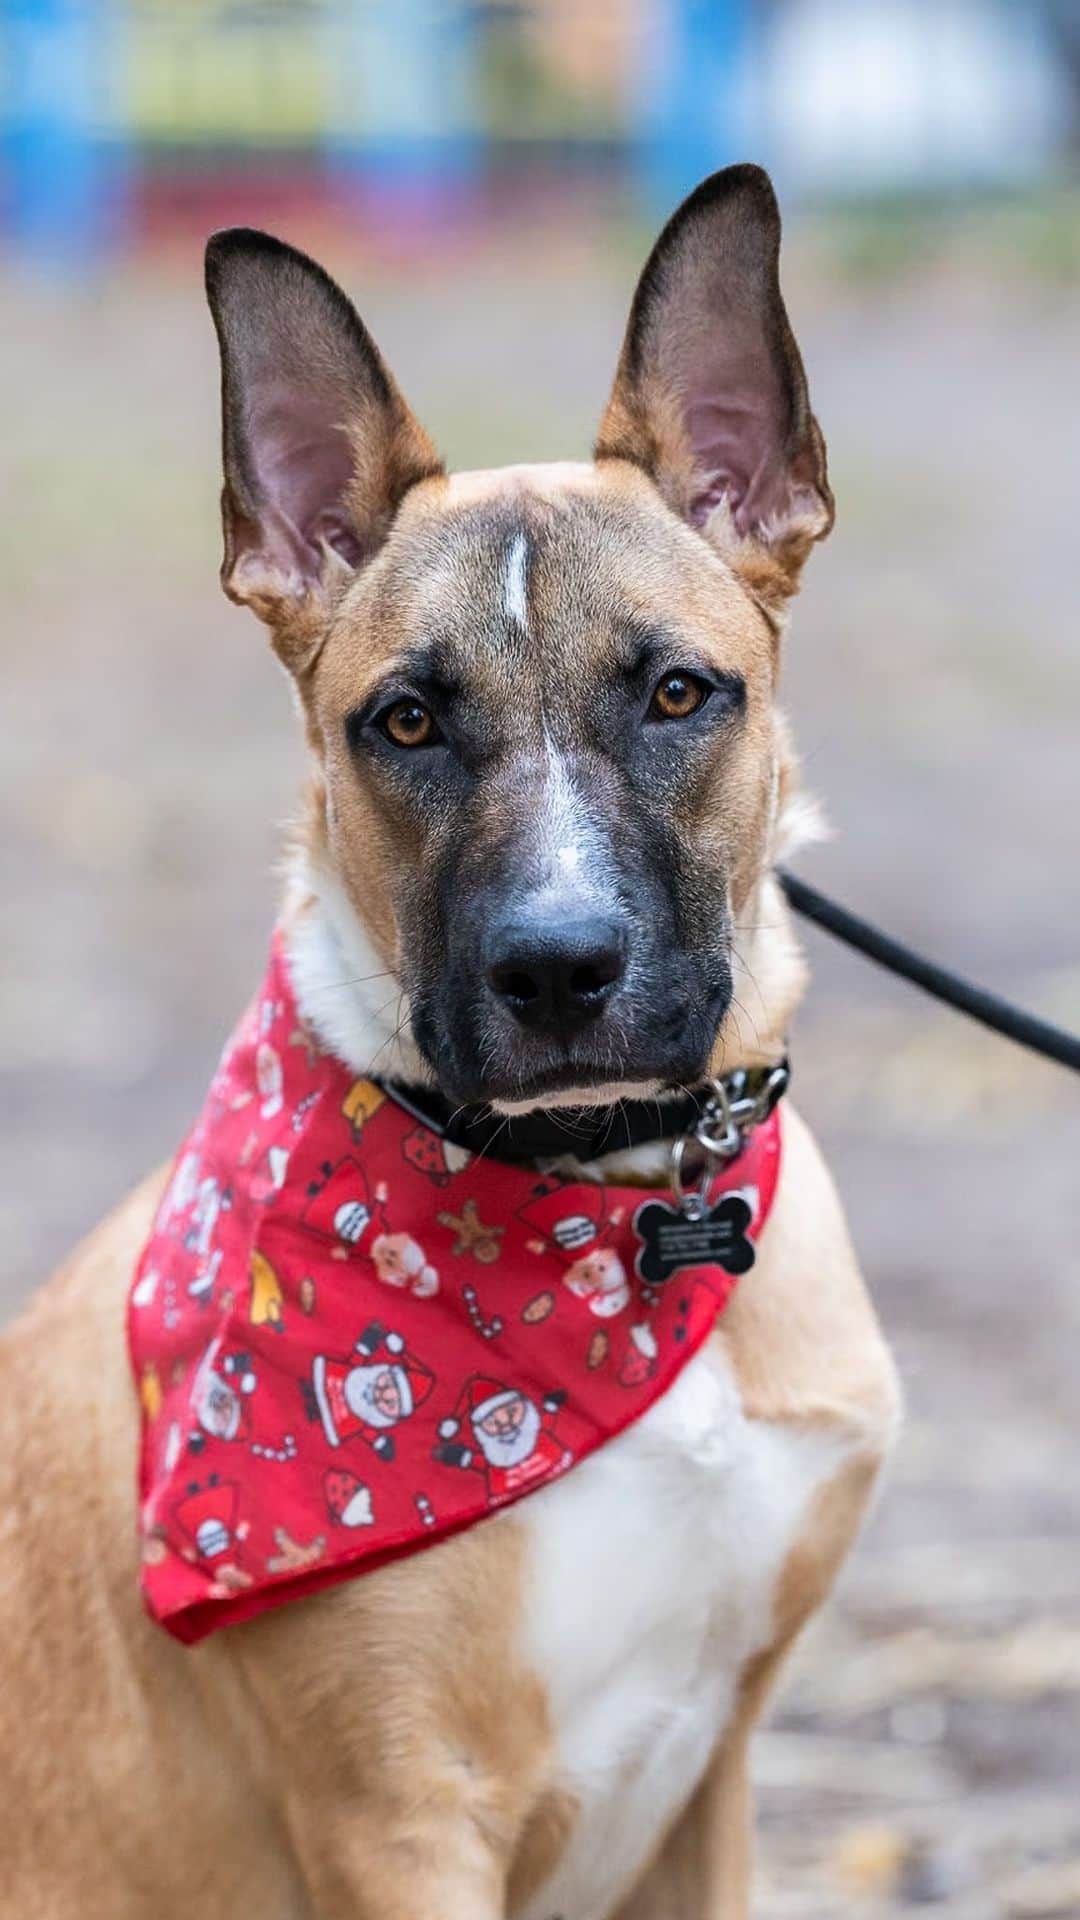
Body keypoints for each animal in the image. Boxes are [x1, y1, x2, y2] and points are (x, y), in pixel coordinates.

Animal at [0, 168, 891, 1920]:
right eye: (404, 722)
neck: (613, 1228)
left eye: (679, 694)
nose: (558, 968)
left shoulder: (713, 1776)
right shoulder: (401, 1817)